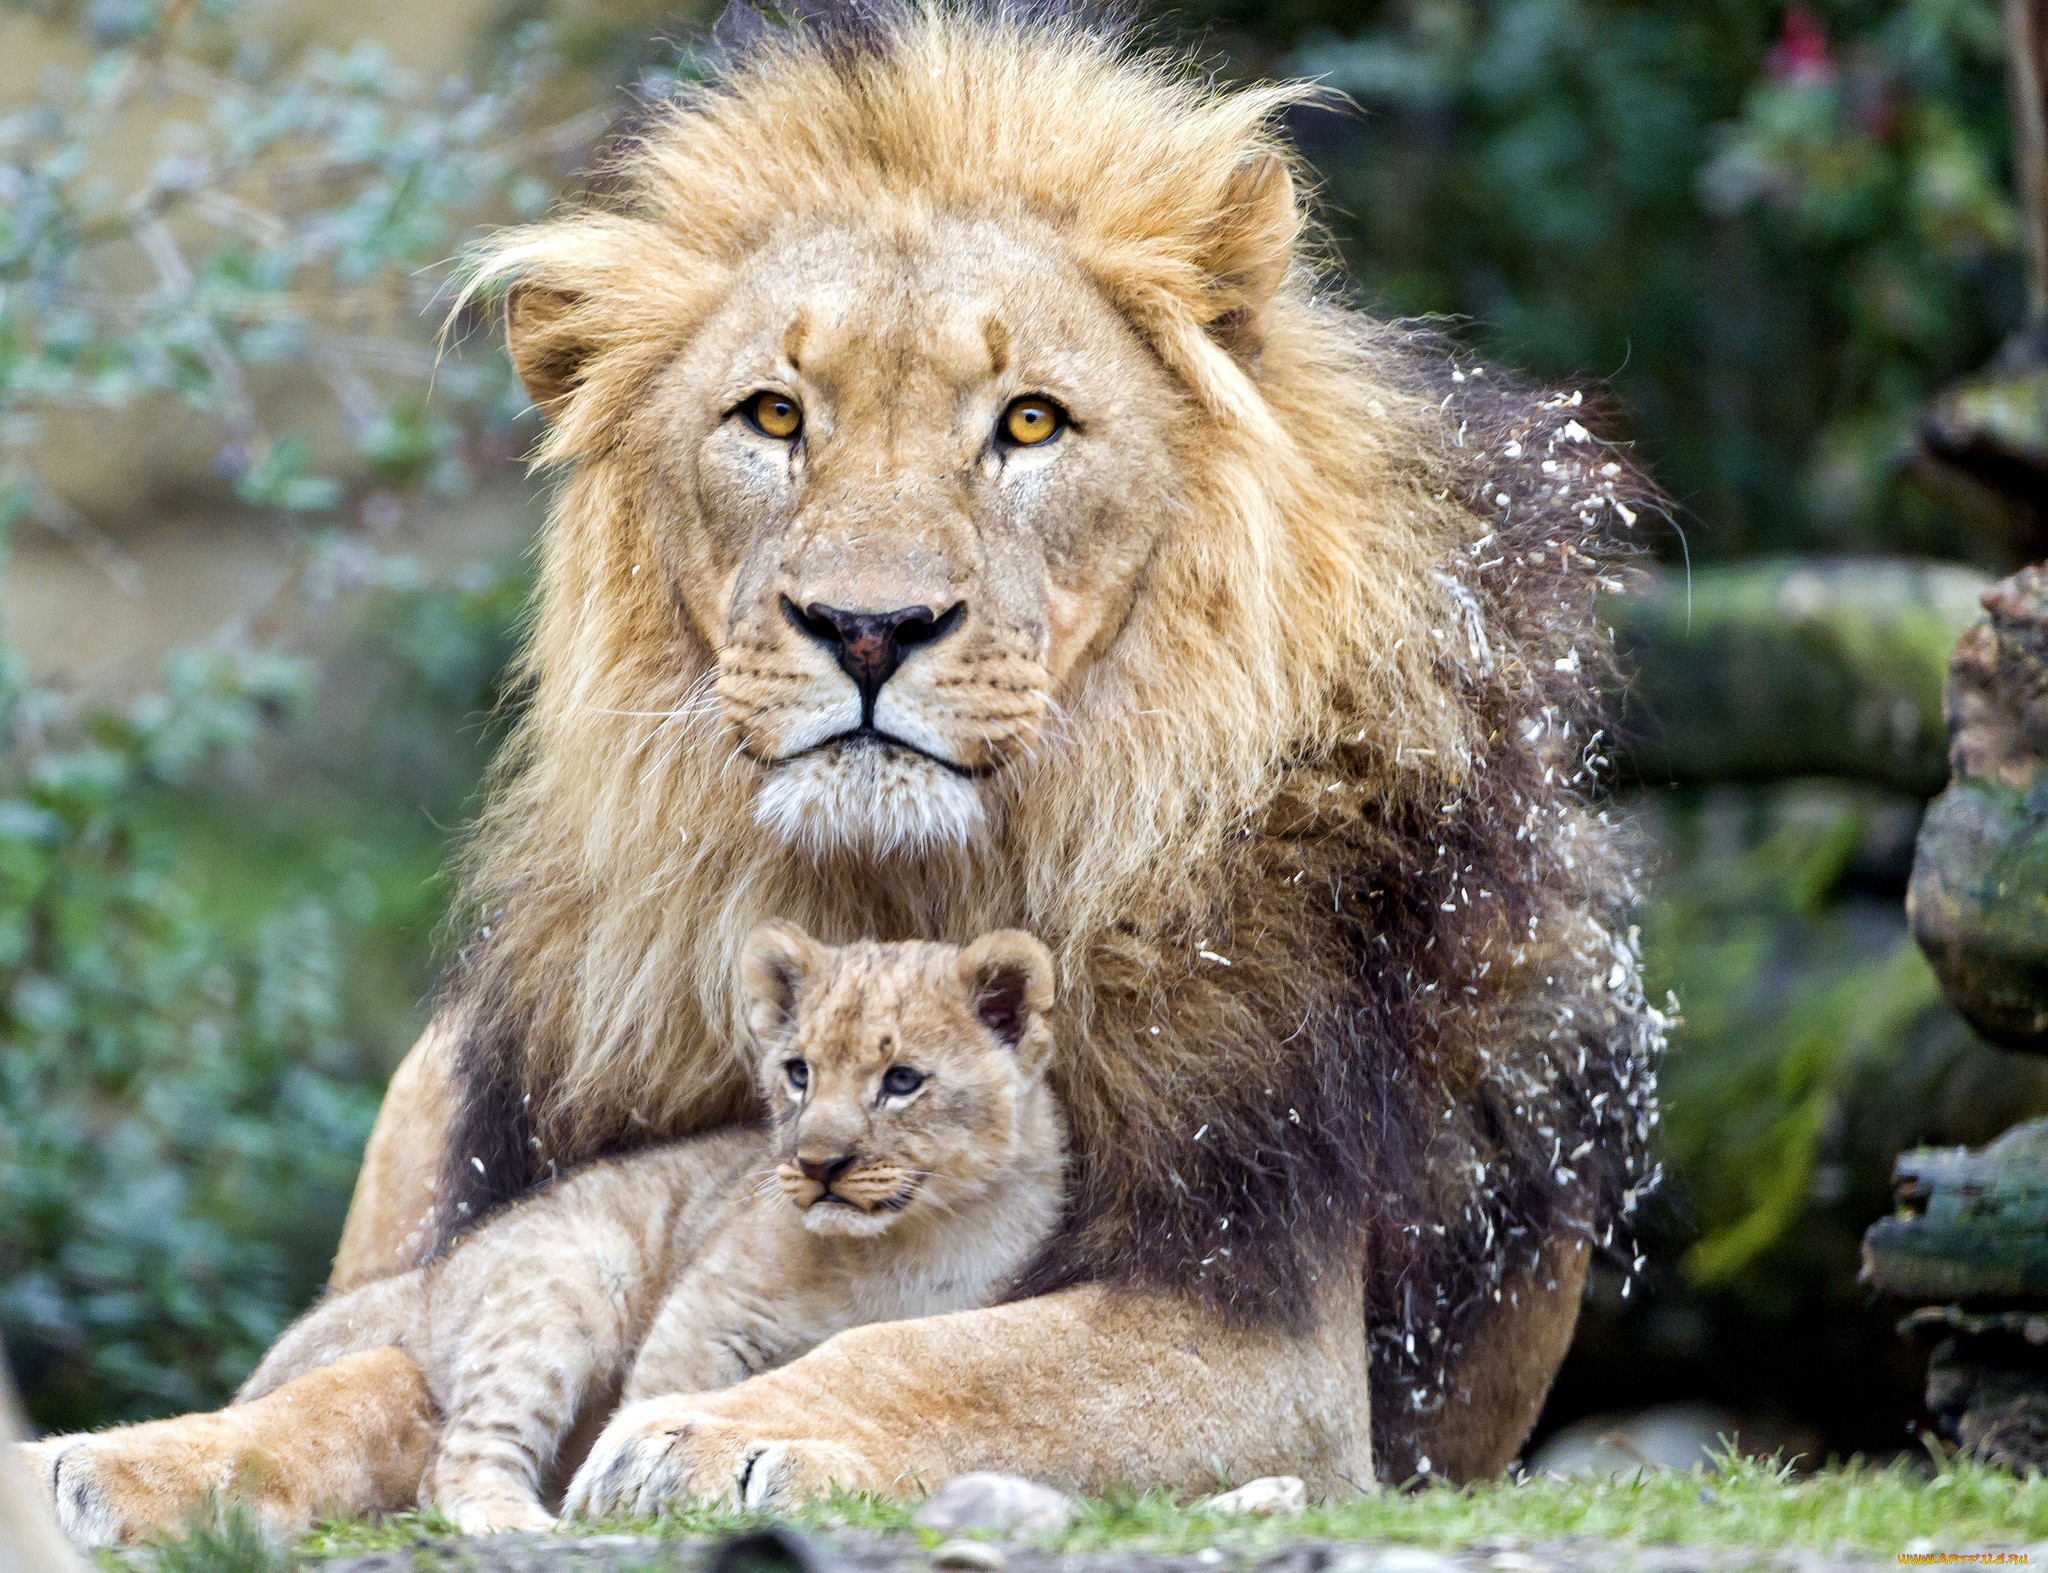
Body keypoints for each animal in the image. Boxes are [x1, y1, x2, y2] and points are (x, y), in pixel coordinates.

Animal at [19, 0, 1662, 1532]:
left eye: (1028, 422)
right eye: (773, 415)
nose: (869, 628)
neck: (886, 892)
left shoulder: (1263, 1329)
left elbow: (954, 1355)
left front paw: (703, 1431)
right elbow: (376, 1374)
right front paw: (123, 1462)